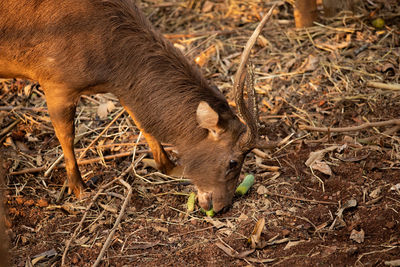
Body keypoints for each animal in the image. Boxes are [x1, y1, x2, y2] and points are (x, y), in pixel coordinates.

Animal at [0, 0, 276, 214]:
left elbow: (142, 121)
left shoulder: (122, 86)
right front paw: (80, 190)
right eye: (233, 162)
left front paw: (170, 167)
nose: (222, 206)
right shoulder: (56, 83)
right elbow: (66, 135)